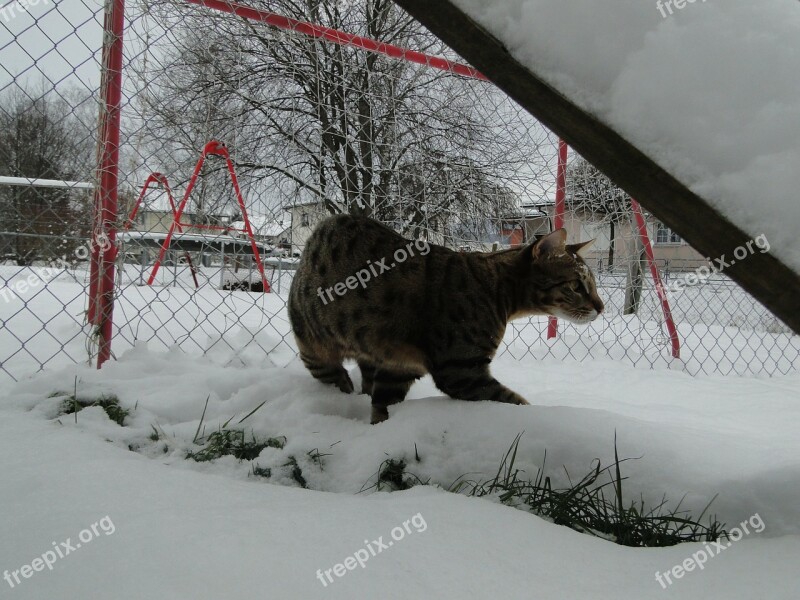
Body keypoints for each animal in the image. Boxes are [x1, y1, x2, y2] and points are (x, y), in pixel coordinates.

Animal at [284, 213, 604, 424]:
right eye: (577, 286)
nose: (601, 308)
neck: (497, 291)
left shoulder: (398, 368)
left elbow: (382, 407)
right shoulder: (462, 370)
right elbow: (514, 401)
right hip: (316, 351)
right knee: (336, 378)